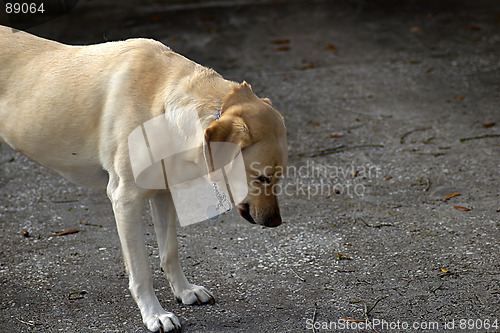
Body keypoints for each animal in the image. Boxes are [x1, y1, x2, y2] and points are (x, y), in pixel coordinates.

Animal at [0, 26, 288, 332]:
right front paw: (154, 314)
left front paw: (184, 291)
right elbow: (141, 271)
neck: (162, 105)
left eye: (279, 176)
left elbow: (170, 252)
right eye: (261, 178)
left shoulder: (162, 193)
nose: (276, 222)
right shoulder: (125, 200)